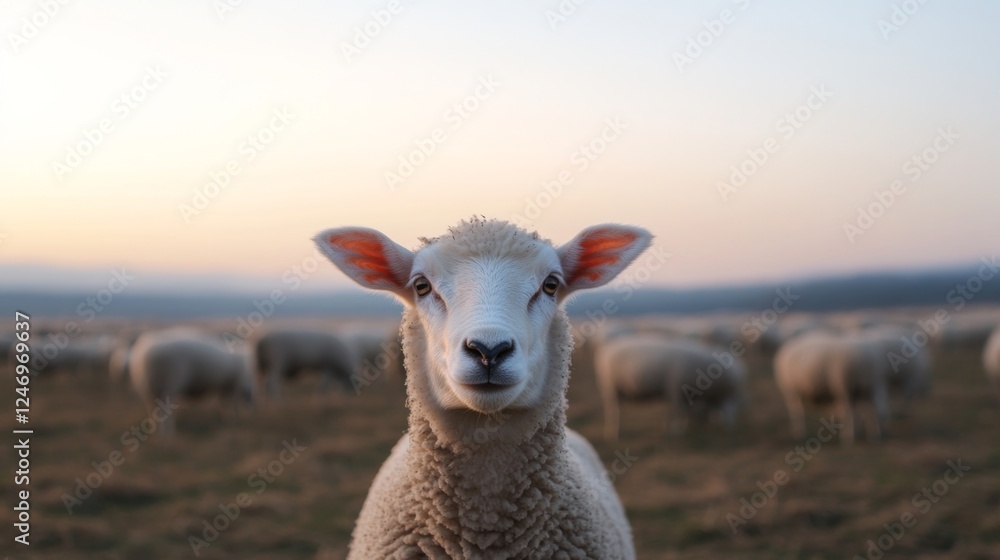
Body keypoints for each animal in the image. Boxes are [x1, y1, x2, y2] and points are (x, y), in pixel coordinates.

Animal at [595, 333, 747, 442]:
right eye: (731, 408)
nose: (731, 430)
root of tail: (609, 347)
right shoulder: (676, 389)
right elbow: (677, 412)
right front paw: (675, 433)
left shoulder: (680, 393)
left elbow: (679, 412)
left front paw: (674, 430)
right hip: (610, 387)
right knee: (614, 411)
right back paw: (613, 434)